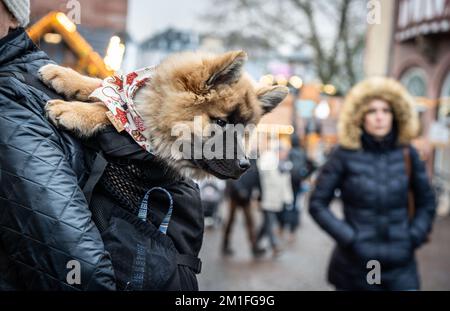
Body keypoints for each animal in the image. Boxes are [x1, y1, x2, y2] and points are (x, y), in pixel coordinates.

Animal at [39, 50, 288, 179]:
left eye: (245, 132)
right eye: (220, 122)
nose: (245, 166)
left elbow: (111, 113)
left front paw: (73, 110)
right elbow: (104, 85)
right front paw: (64, 75)